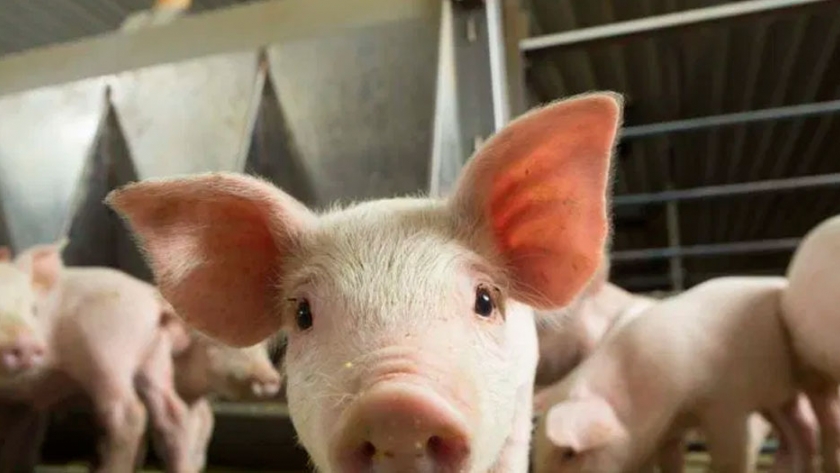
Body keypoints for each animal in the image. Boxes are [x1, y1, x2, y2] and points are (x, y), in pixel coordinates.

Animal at [531, 276, 815, 473]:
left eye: (569, 454)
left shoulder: (726, 405)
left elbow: (732, 455)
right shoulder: (667, 431)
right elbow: (670, 461)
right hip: (778, 397)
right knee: (799, 430)